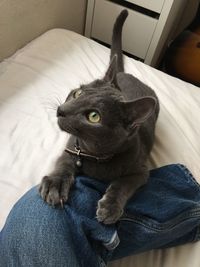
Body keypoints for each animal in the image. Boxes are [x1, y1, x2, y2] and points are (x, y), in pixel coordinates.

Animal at [39, 9, 159, 225]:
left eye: (94, 116)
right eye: (77, 93)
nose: (61, 110)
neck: (93, 154)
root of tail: (124, 74)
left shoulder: (141, 170)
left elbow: (123, 184)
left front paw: (110, 206)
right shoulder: (70, 146)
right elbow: (63, 162)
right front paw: (55, 184)